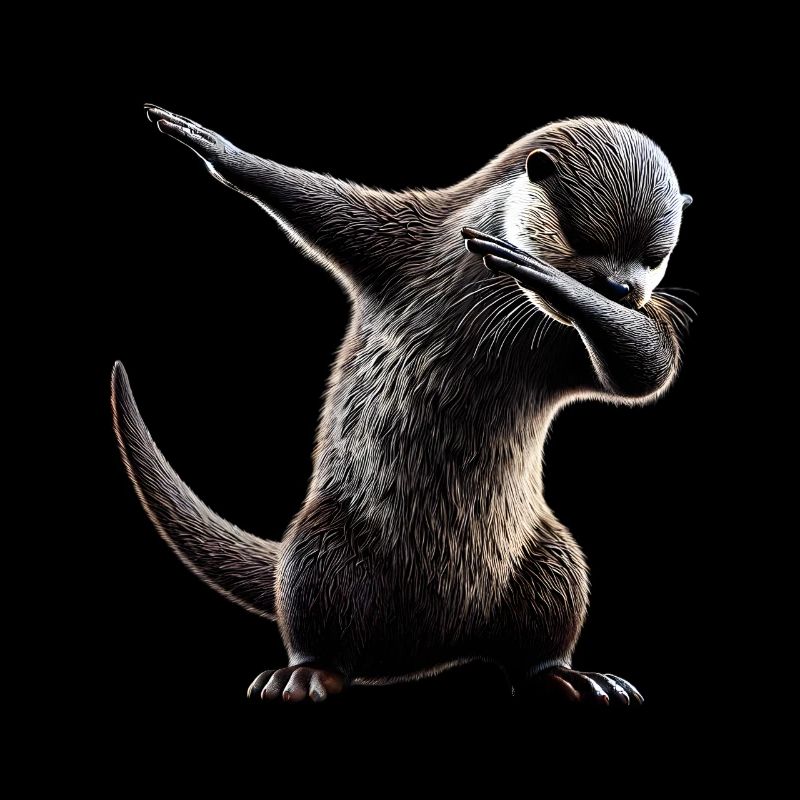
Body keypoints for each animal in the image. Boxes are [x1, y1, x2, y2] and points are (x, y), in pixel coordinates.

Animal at [113, 105, 693, 705]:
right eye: (582, 237)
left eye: (655, 258)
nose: (623, 289)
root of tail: (435, 646)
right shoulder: (401, 238)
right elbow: (319, 202)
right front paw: (215, 147)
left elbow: (650, 367)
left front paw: (550, 281)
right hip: (319, 552)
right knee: (319, 624)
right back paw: (304, 675)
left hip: (552, 559)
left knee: (540, 636)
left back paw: (572, 678)